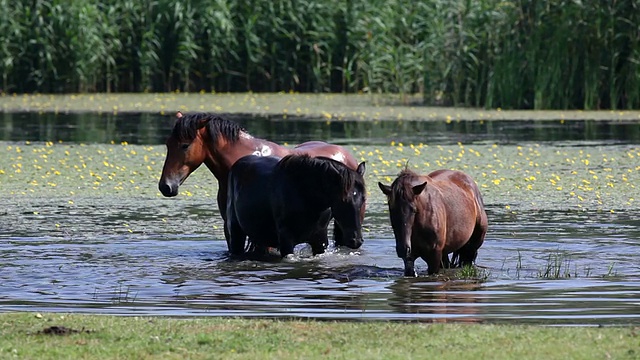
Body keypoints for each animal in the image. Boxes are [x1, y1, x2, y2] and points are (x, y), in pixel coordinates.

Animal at [225, 153, 364, 258]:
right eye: (343, 200)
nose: (356, 240)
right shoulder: (286, 238)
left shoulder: (320, 239)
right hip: (235, 231)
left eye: (363, 199)